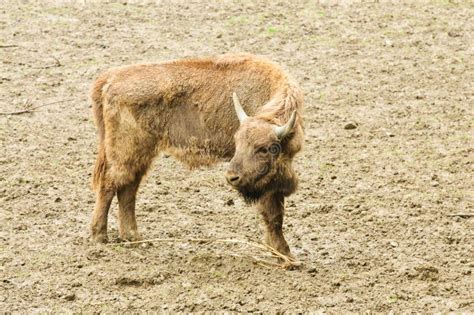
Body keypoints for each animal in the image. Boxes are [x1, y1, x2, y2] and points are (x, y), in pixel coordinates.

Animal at [89, 53, 304, 258]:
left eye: (268, 148)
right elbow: (273, 215)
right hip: (125, 153)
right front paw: (286, 256)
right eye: (237, 142)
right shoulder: (266, 185)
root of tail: (109, 79)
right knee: (109, 185)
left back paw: (133, 237)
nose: (232, 177)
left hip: (141, 155)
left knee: (128, 190)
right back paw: (100, 237)